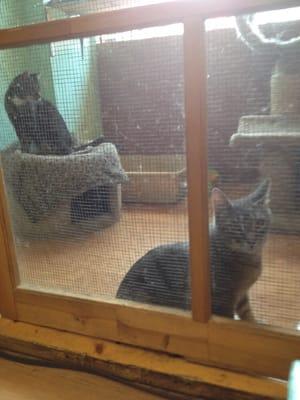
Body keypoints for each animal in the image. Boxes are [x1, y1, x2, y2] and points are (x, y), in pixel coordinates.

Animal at [117, 180, 272, 320]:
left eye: (260, 223)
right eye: (236, 227)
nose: (252, 241)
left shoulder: (241, 296)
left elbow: (248, 314)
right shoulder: (223, 302)